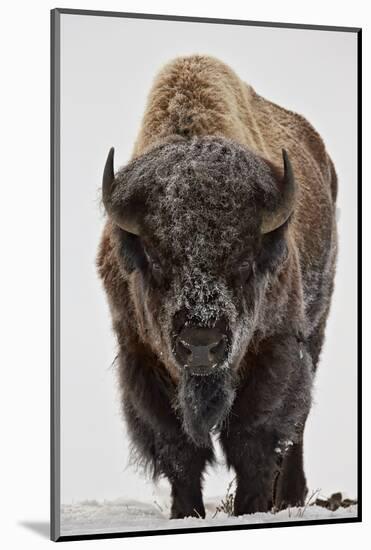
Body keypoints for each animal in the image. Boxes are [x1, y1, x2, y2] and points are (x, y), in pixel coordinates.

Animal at [97, 56, 338, 520]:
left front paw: (250, 509)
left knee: (296, 426)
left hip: (315, 329)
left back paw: (290, 498)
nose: (201, 344)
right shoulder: (141, 356)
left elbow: (254, 437)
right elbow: (178, 447)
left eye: (244, 263)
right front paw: (185, 513)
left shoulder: (274, 349)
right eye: (156, 260)